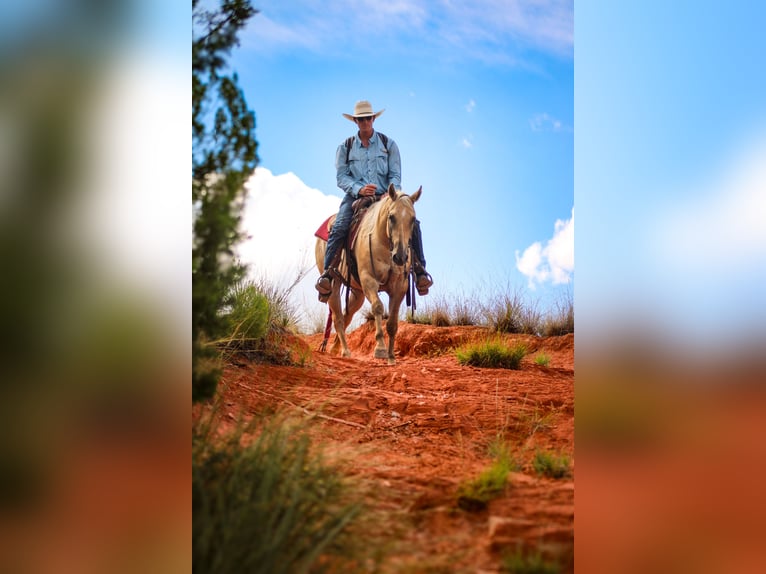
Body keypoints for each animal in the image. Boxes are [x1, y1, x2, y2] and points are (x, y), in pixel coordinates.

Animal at [315, 183, 422, 365]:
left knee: (347, 315)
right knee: (338, 318)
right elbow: (378, 307)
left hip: (357, 293)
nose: (400, 257)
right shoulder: (368, 280)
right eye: (391, 217)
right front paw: (380, 349)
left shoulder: (399, 287)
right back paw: (345, 351)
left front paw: (391, 357)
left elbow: (392, 322)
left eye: (413, 219)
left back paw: (336, 349)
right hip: (334, 285)